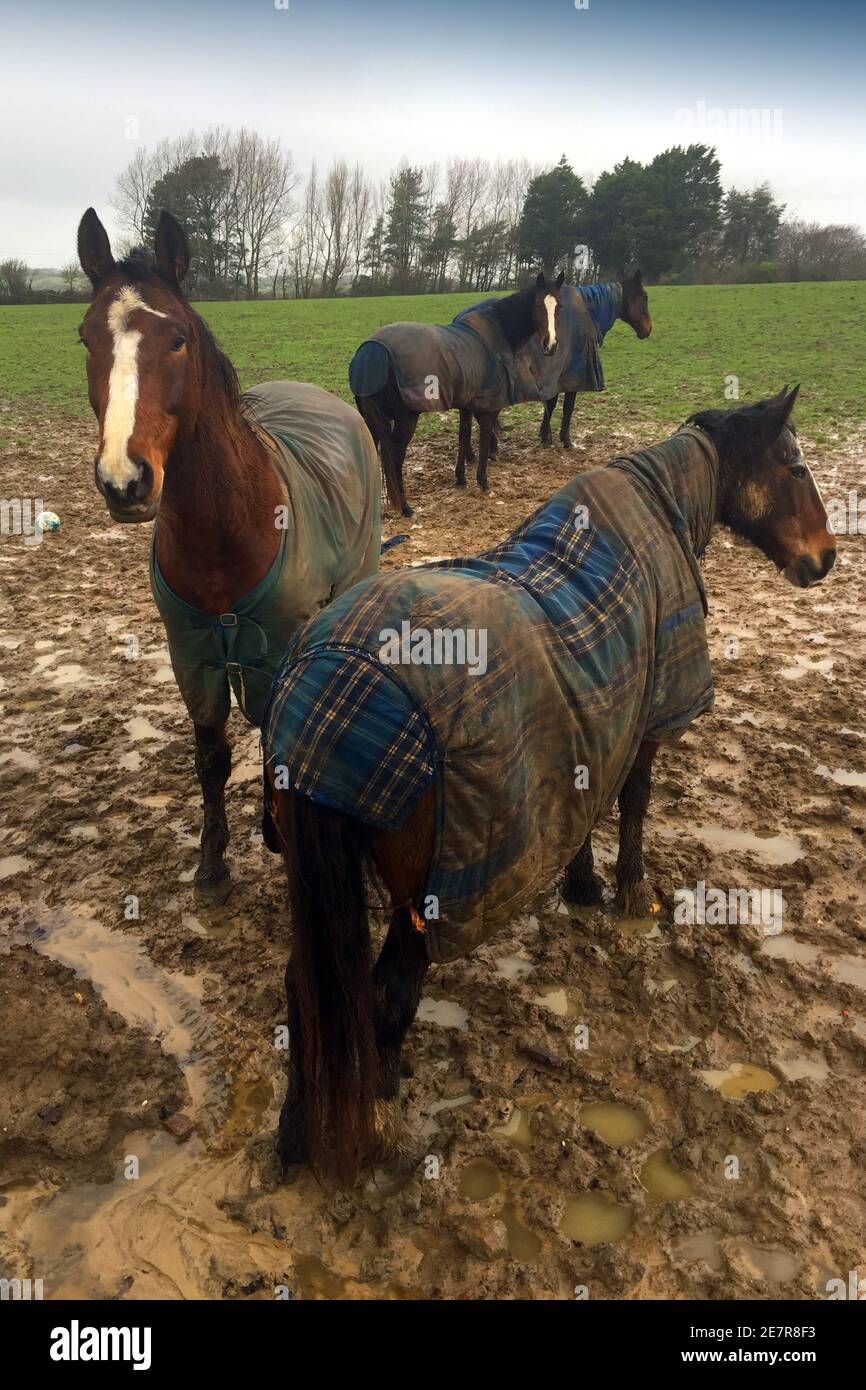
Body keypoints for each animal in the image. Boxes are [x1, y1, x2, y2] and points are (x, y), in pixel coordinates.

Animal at [76, 208, 381, 905]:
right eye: (85, 339)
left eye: (178, 338)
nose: (124, 481)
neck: (225, 531)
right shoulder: (191, 652)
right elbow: (211, 754)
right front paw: (213, 864)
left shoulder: (275, 645)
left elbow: (274, 733)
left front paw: (275, 833)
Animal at [261, 385, 835, 1185]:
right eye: (793, 464)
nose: (827, 557)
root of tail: (323, 693)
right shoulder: (648, 717)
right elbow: (633, 805)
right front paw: (629, 894)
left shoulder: (593, 725)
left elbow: (586, 809)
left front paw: (584, 885)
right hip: (425, 901)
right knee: (386, 999)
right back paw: (380, 1114)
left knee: (307, 991)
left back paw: (293, 1136)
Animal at [350, 272, 565, 516]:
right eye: (538, 305)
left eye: (559, 306)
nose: (550, 345)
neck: (498, 331)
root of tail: (371, 352)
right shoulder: (489, 407)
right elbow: (483, 438)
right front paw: (483, 481)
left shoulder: (466, 404)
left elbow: (463, 436)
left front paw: (461, 478)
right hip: (405, 419)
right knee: (396, 455)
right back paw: (405, 507)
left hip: (371, 420)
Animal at [456, 270, 652, 475]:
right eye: (644, 296)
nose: (647, 329)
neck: (587, 313)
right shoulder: (572, 379)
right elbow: (567, 408)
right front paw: (565, 440)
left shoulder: (554, 379)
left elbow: (550, 405)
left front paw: (545, 437)